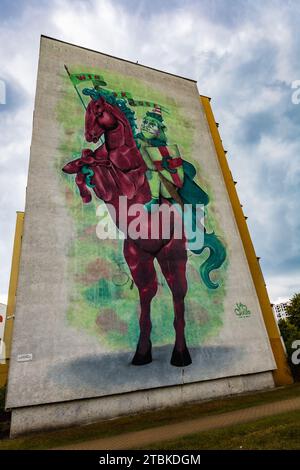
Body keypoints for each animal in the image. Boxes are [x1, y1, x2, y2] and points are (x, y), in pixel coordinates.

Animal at [62, 92, 224, 368]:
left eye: (98, 111)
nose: (90, 135)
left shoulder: (128, 183)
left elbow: (105, 171)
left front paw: (85, 171)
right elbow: (89, 165)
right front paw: (78, 172)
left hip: (171, 253)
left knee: (178, 294)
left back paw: (180, 354)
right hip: (137, 257)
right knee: (148, 294)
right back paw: (142, 353)